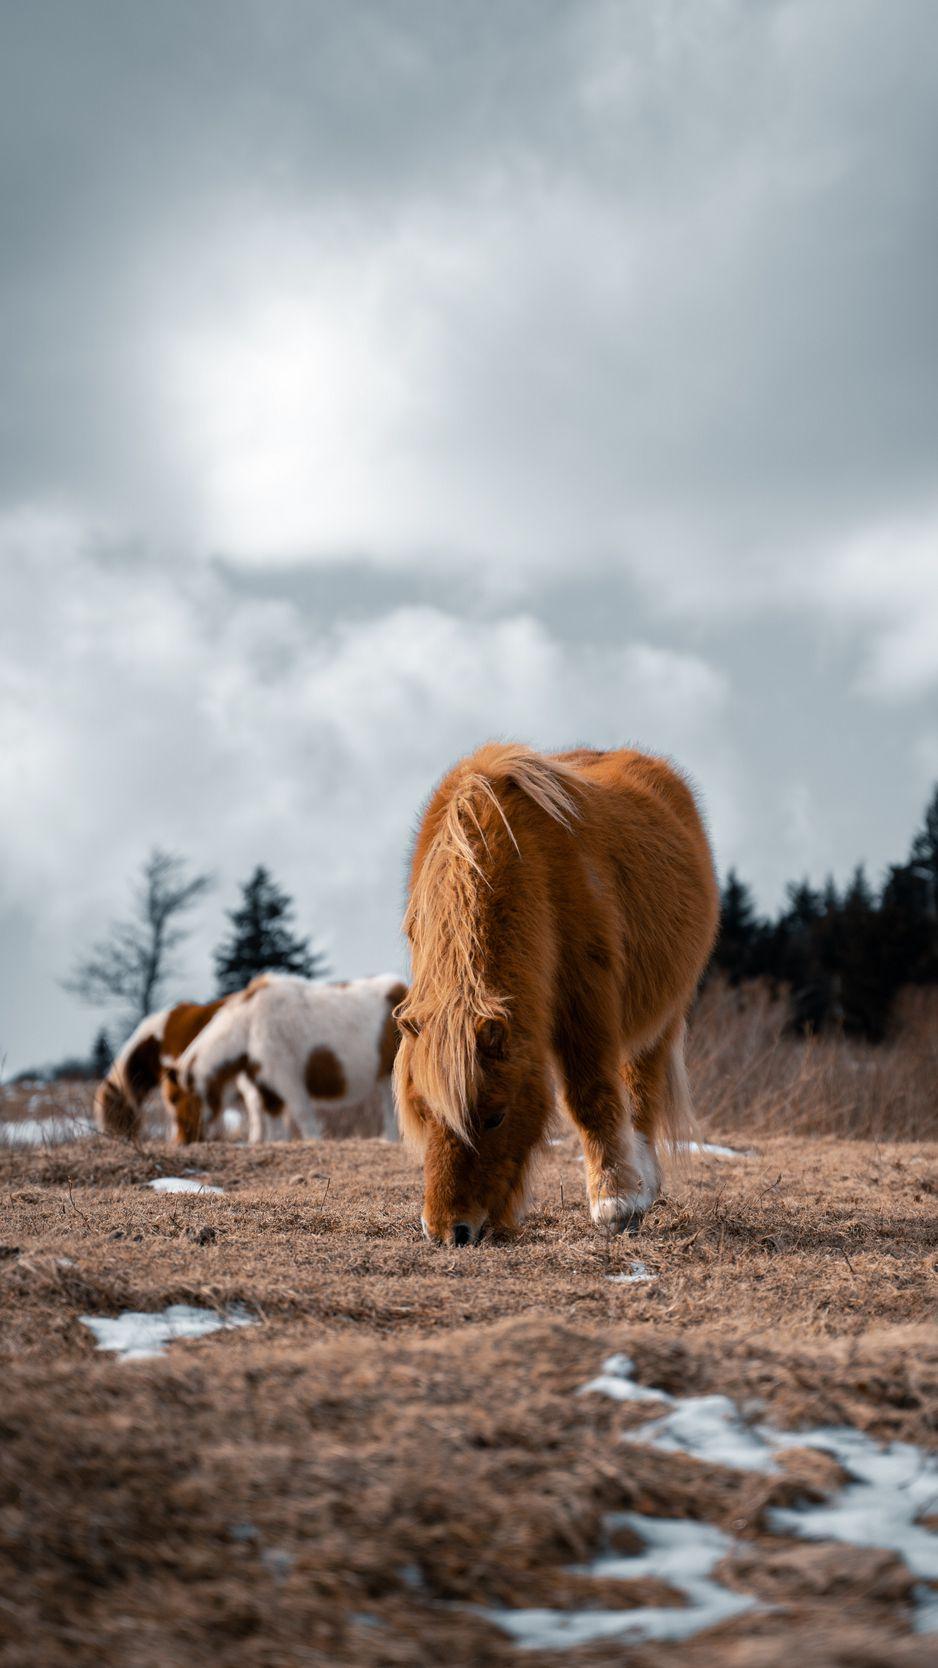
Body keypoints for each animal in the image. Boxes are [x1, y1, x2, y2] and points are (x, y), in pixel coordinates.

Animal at [163, 973, 408, 1143]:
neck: (249, 1026)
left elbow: (303, 1116)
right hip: (384, 1077)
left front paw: (313, 1142)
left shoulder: (287, 1079)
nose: (182, 1141)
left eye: (175, 1098)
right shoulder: (265, 1087)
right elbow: (274, 1122)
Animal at [393, 742, 719, 1245]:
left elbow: (590, 1097)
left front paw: (615, 1203)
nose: (450, 1232)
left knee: (640, 1093)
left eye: (495, 1116)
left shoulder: (584, 1002)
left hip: (661, 1018)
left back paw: (642, 1187)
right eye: (423, 1113)